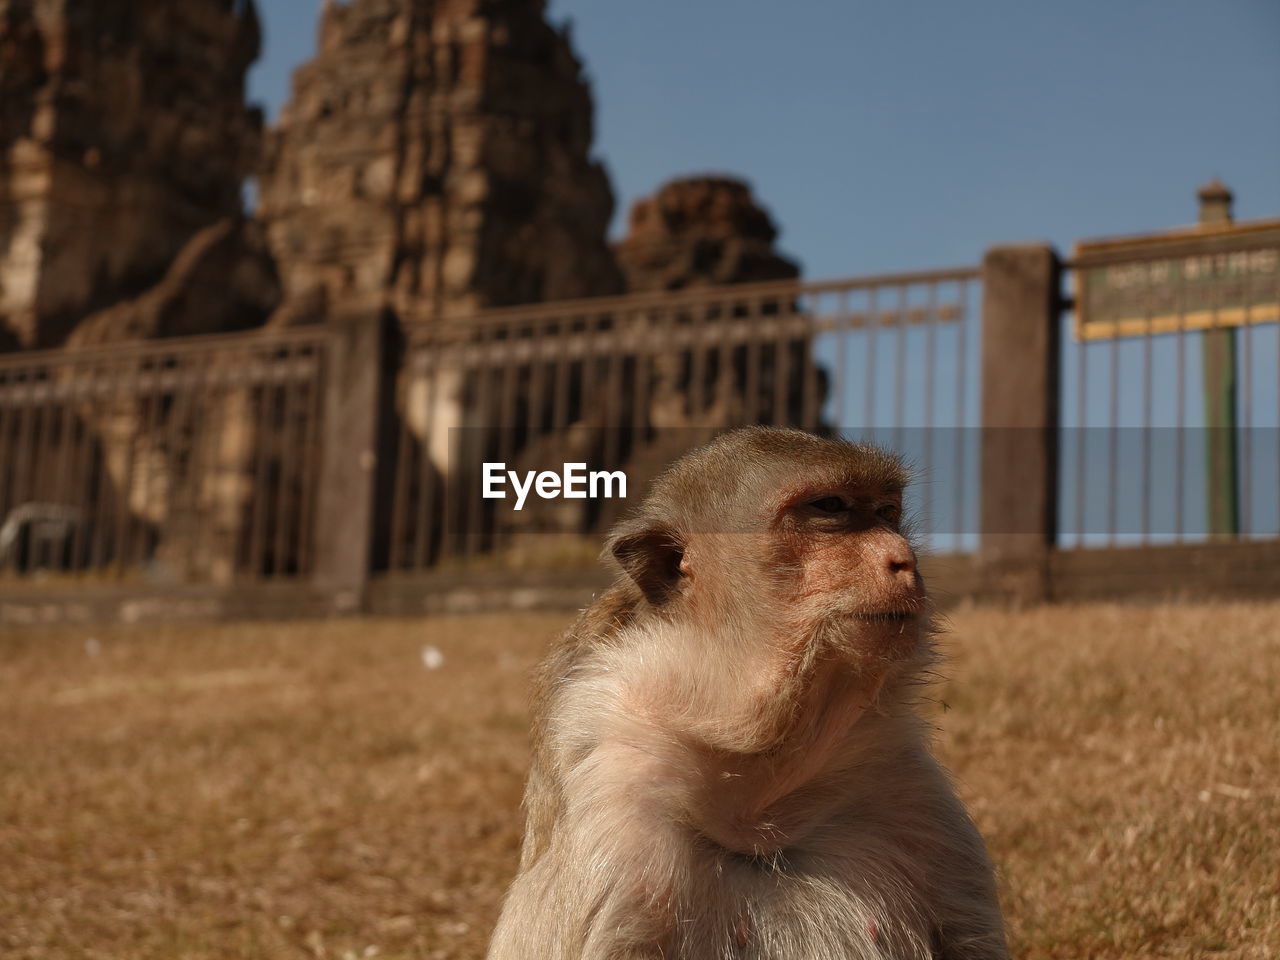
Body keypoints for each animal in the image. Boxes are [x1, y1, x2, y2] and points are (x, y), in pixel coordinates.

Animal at [486, 430, 1008, 960]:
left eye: (886, 512)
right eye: (830, 507)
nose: (904, 559)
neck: (759, 797)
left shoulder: (915, 797)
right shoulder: (621, 809)